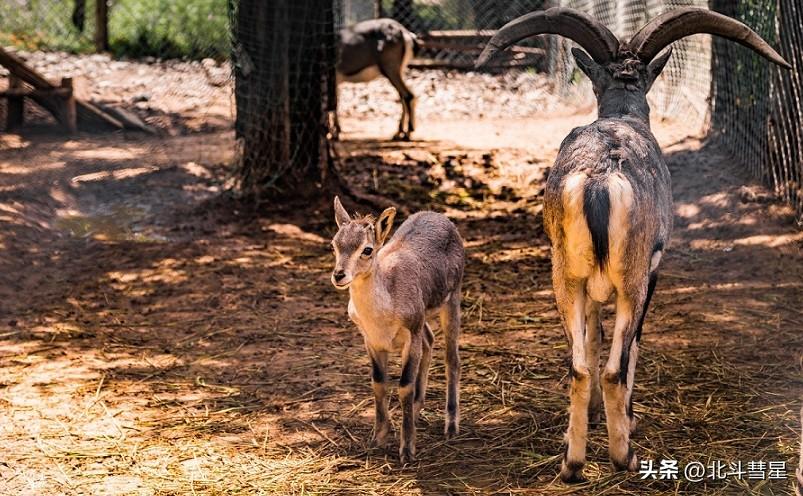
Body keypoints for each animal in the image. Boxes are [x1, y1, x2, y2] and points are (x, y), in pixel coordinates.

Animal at [478, 5, 792, 482]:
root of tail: (599, 181)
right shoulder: (652, 270)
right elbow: (632, 348)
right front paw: (629, 419)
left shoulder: (587, 288)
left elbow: (591, 338)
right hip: (632, 280)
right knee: (614, 367)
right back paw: (623, 456)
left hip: (564, 276)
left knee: (579, 365)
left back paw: (572, 463)